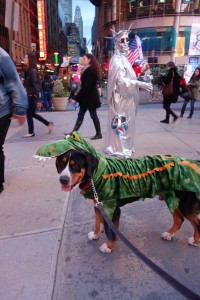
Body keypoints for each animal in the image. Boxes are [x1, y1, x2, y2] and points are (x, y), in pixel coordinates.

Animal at [36, 132, 200, 252]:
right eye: (62, 163)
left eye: (75, 165)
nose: (63, 180)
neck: (96, 176)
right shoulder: (98, 206)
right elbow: (98, 223)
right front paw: (96, 235)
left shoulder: (113, 208)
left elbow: (112, 231)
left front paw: (108, 246)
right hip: (171, 198)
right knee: (179, 219)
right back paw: (169, 234)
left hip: (185, 203)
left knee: (196, 223)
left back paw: (195, 241)